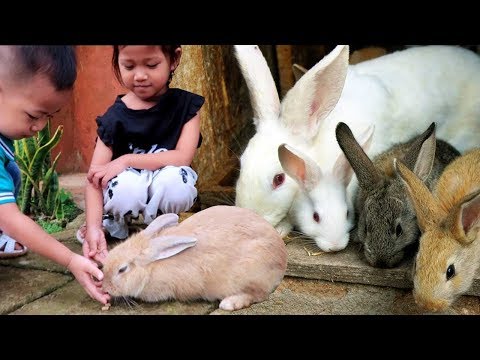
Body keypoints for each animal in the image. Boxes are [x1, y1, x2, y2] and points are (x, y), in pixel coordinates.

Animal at [101, 207, 286, 310]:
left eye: (122, 269)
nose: (105, 287)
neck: (153, 267)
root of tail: (281, 260)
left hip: (250, 274)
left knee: (258, 295)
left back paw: (229, 303)